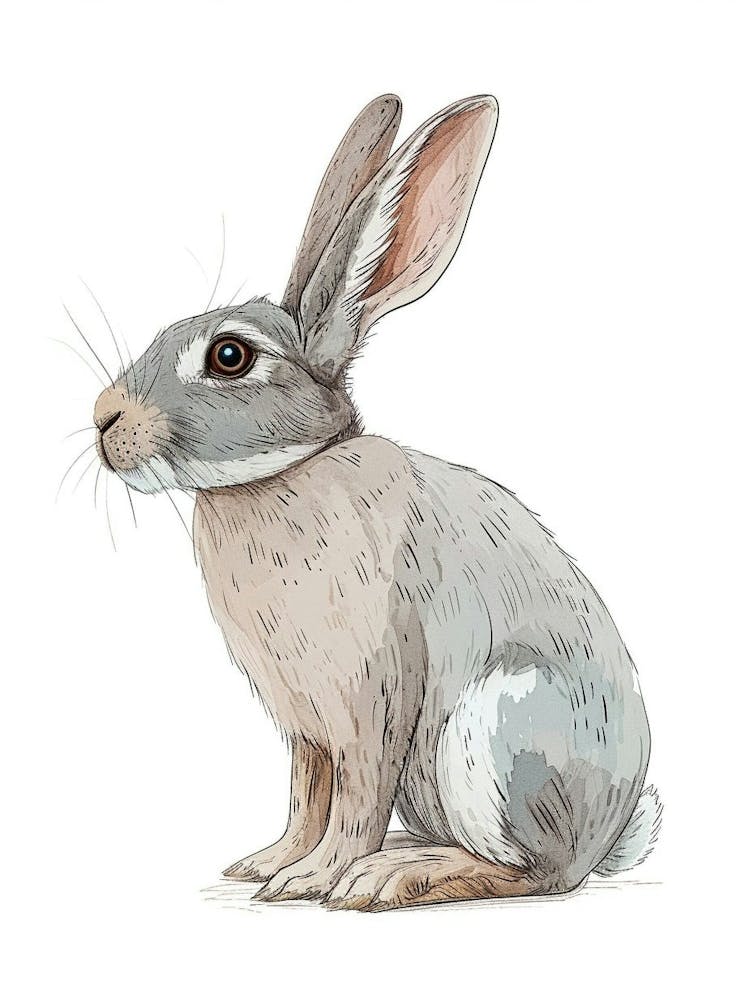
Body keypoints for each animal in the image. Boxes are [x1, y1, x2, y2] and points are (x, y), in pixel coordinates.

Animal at [91, 93, 661, 911]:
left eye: (229, 356)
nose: (104, 420)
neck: (289, 473)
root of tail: (605, 838)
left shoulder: (375, 693)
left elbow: (355, 798)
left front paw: (317, 879)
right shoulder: (304, 725)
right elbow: (306, 794)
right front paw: (268, 866)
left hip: (491, 733)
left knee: (532, 874)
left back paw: (392, 876)